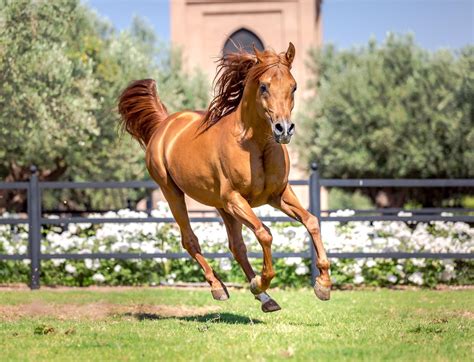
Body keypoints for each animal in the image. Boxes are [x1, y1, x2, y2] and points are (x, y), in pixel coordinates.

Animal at [118, 43, 332, 312]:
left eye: (294, 86)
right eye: (264, 86)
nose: (284, 129)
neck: (254, 144)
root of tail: (164, 125)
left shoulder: (278, 194)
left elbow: (311, 221)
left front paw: (323, 285)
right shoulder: (235, 199)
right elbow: (265, 233)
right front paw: (261, 281)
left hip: (221, 206)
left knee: (236, 246)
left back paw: (265, 298)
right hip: (173, 192)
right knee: (190, 240)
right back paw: (220, 287)